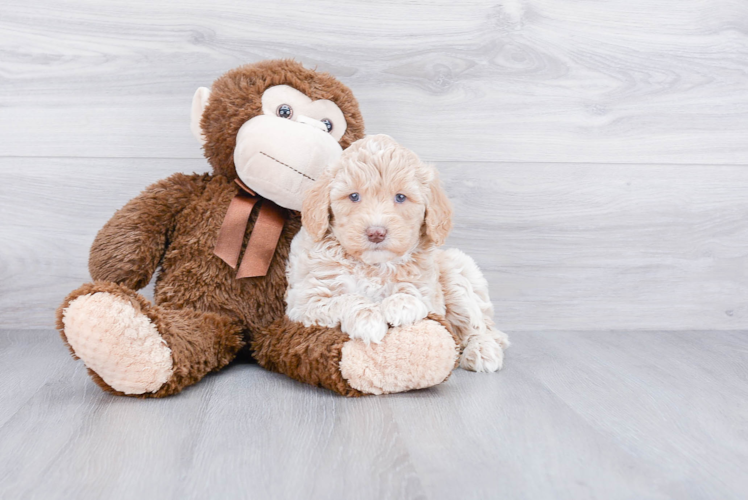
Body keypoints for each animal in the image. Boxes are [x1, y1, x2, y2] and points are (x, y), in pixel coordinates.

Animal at [286, 135, 508, 374]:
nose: (376, 232)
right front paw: (368, 319)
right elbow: (346, 299)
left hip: (456, 272)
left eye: (401, 197)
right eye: (354, 196)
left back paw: (482, 350)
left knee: (476, 325)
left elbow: (412, 292)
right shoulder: (305, 302)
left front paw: (400, 305)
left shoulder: (429, 291)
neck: (372, 266)